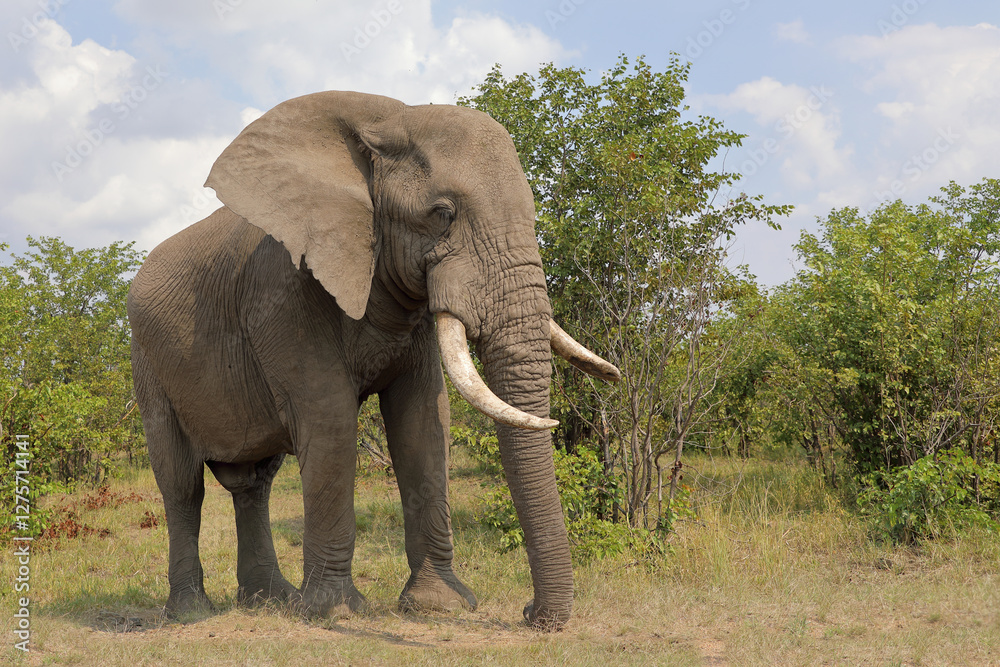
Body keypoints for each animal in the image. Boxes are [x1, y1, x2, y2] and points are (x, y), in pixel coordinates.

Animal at [127, 90, 620, 630]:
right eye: (442, 213)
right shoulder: (283, 293)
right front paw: (334, 613)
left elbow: (423, 421)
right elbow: (331, 420)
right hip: (146, 360)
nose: (530, 614)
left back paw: (269, 601)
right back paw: (192, 612)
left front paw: (437, 606)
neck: (388, 119)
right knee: (181, 485)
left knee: (254, 483)